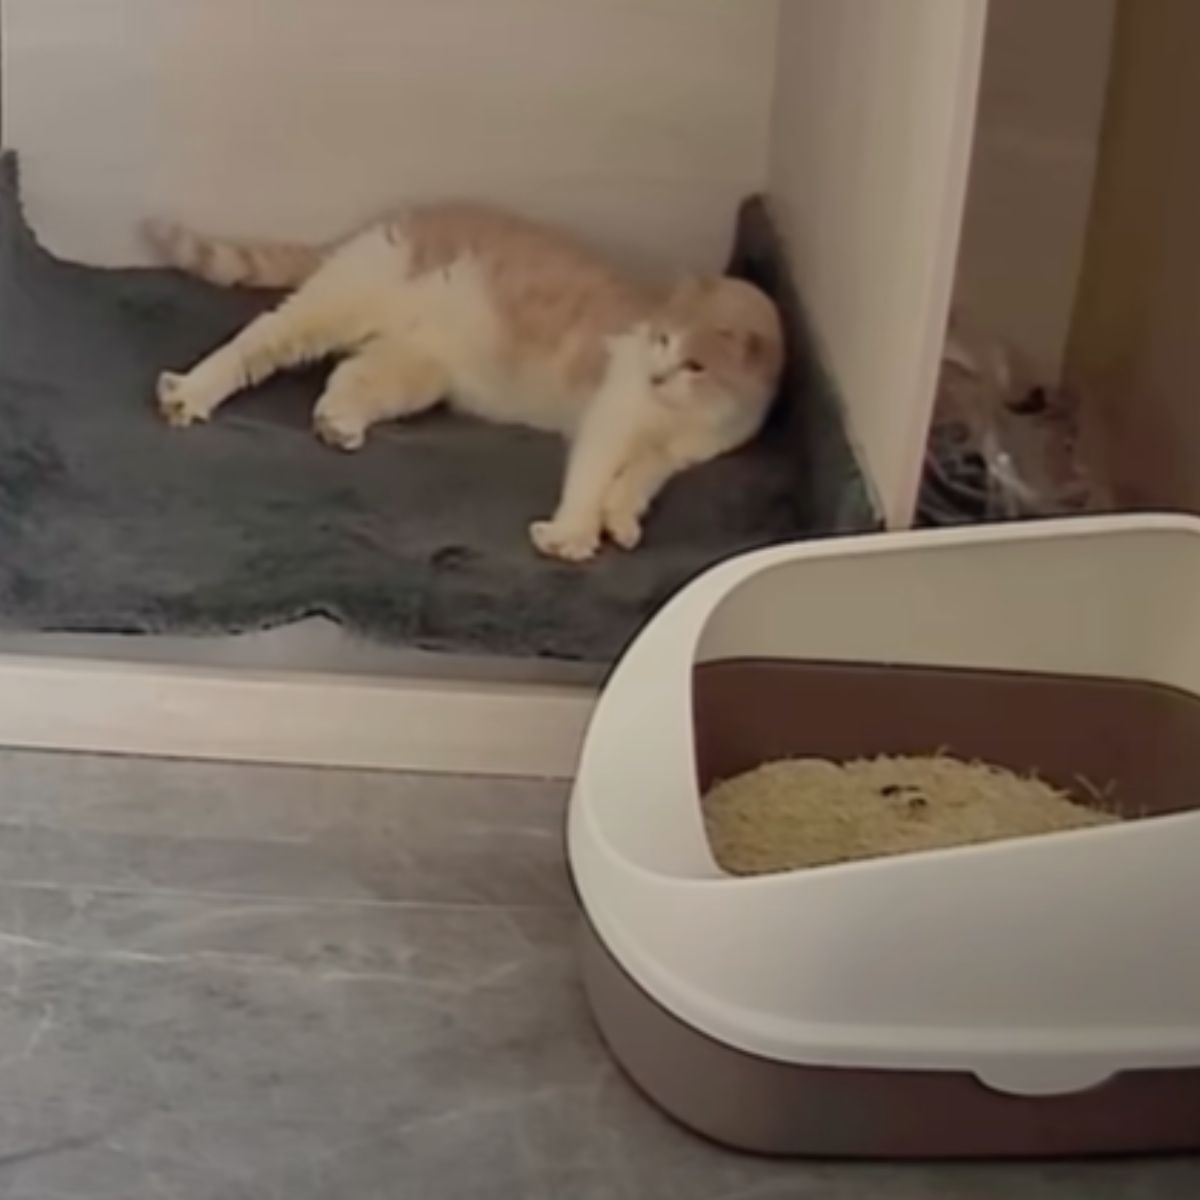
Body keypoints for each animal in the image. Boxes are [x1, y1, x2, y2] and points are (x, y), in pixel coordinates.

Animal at [145, 206, 782, 561]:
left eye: (694, 364)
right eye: (660, 341)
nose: (656, 373)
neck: (684, 413)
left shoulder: (677, 453)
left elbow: (637, 481)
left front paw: (621, 520)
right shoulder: (612, 415)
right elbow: (594, 474)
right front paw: (573, 535)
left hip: (415, 367)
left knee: (351, 374)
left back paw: (338, 423)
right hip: (336, 305)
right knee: (255, 342)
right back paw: (190, 393)